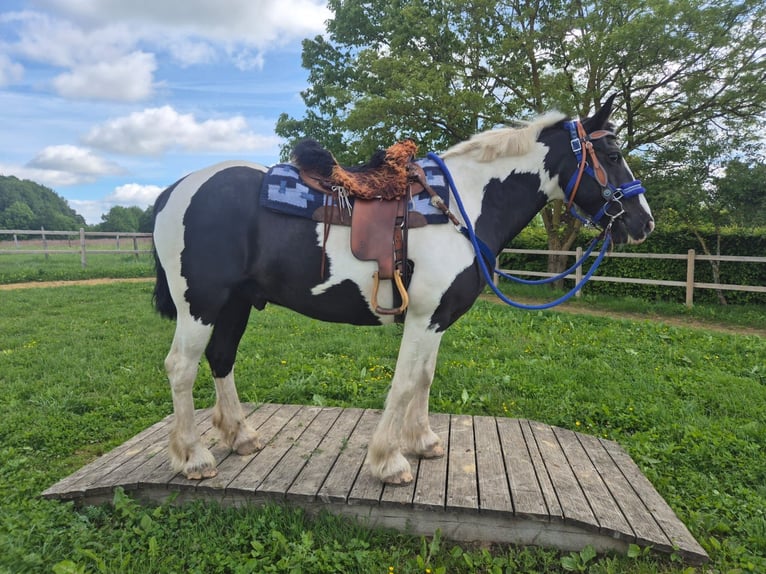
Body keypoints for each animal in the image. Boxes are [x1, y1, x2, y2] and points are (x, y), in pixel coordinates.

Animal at [151, 95, 654, 485]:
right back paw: (193, 458)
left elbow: (424, 378)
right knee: (181, 367)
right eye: (611, 155)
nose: (643, 222)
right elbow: (405, 381)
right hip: (201, 304)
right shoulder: (422, 316)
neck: (462, 207)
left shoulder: (436, 318)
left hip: (234, 303)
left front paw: (423, 441)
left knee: (221, 358)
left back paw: (241, 437)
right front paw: (389, 461)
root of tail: (174, 191)